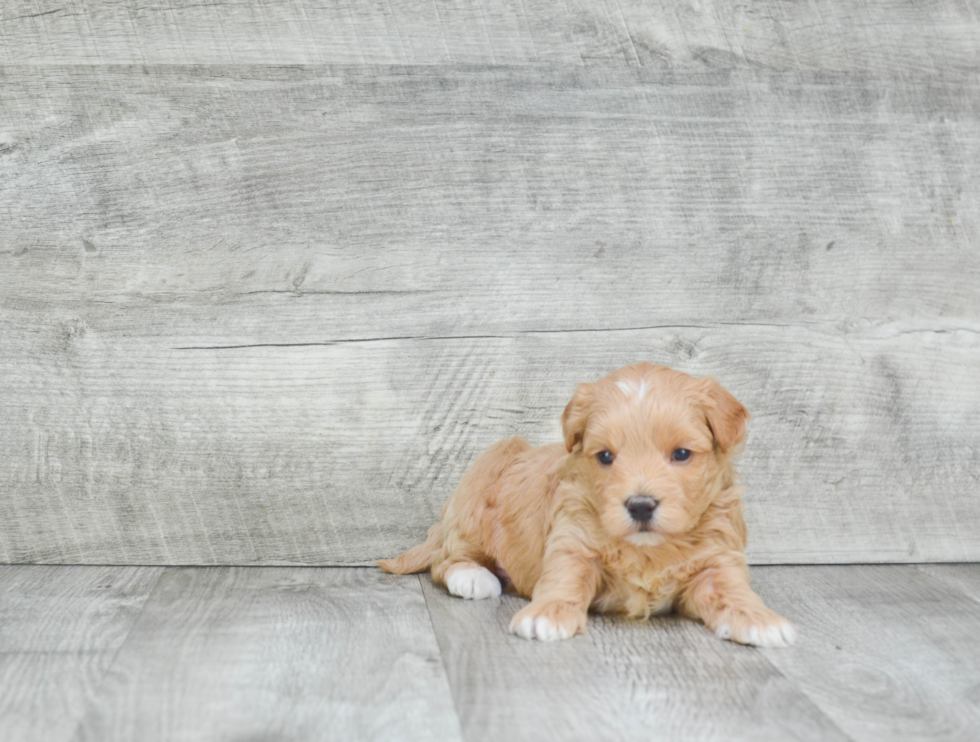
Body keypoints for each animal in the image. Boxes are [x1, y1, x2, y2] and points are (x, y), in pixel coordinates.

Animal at [378, 364, 796, 648]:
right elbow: (566, 577)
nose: (640, 506)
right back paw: (473, 577)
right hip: (479, 489)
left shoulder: (718, 558)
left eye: (681, 454)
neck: (649, 548)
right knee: (446, 558)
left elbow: (731, 591)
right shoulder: (571, 539)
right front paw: (546, 615)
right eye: (606, 456)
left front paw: (759, 619)